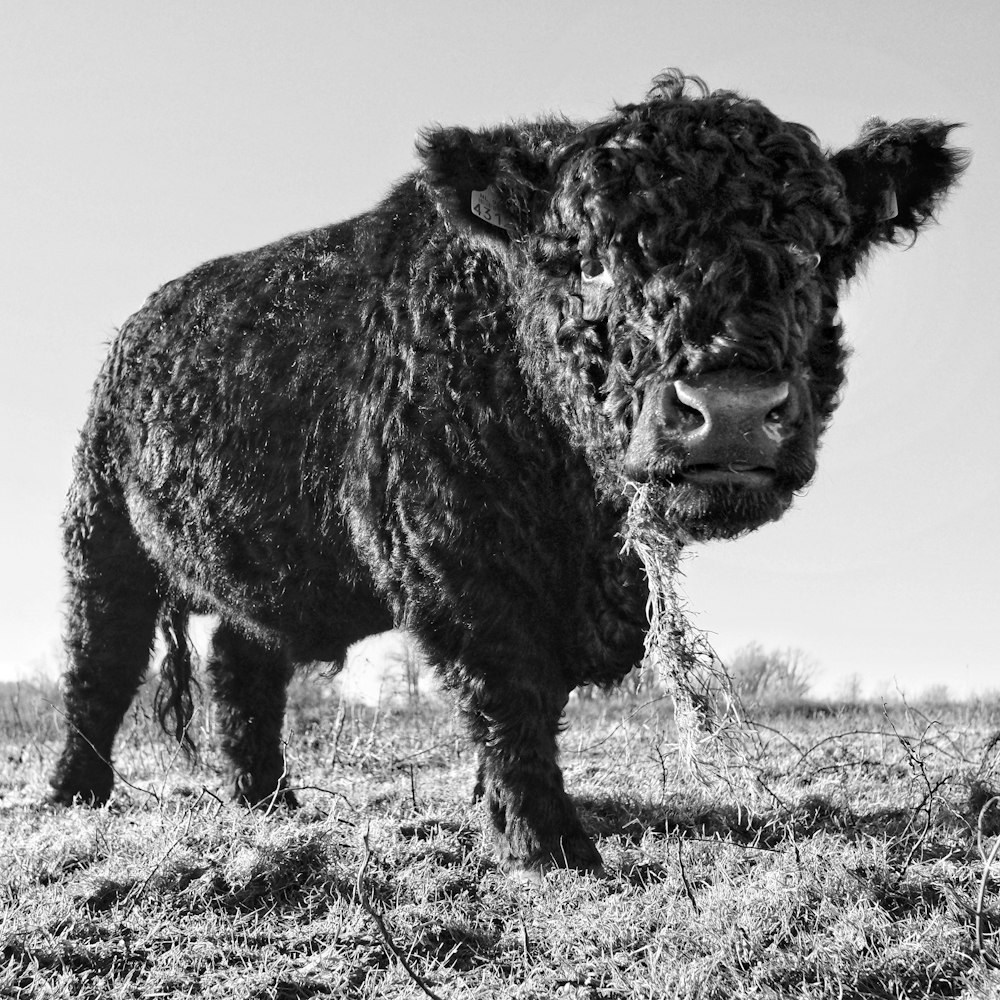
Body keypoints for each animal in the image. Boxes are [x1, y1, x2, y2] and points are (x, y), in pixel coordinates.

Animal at [50, 74, 964, 876]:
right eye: (592, 262)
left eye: (814, 253)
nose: (732, 406)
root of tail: (139, 325)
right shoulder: (461, 561)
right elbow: (509, 697)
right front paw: (547, 844)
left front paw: (497, 813)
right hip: (102, 534)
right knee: (100, 663)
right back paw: (76, 794)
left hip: (270, 564)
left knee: (242, 664)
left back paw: (267, 800)